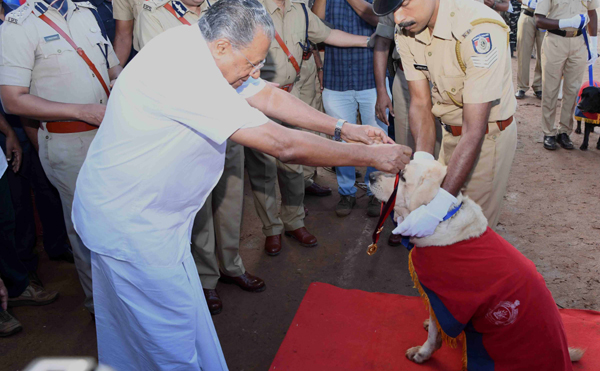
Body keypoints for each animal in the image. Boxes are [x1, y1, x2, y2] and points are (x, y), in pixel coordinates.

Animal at [368, 160, 584, 371]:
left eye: (403, 177)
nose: (370, 176)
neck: (443, 220)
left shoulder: (446, 302)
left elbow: (434, 335)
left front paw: (423, 354)